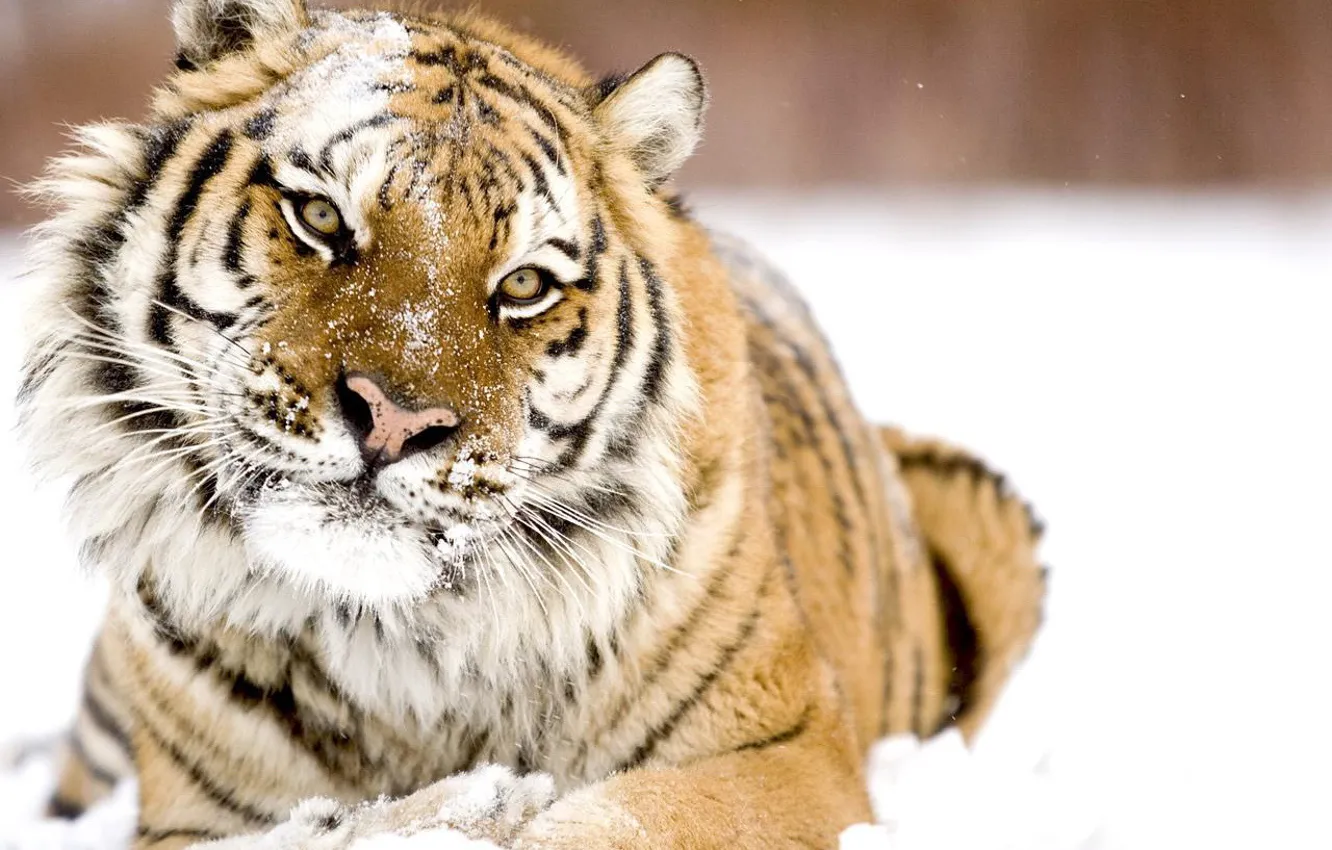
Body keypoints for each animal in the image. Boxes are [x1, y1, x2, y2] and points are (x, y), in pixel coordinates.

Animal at [16, 1, 1047, 848]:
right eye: (320, 217)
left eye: (522, 286)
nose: (395, 421)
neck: (397, 654)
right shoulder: (185, 821)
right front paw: (464, 805)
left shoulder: (789, 759)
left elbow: (614, 821)